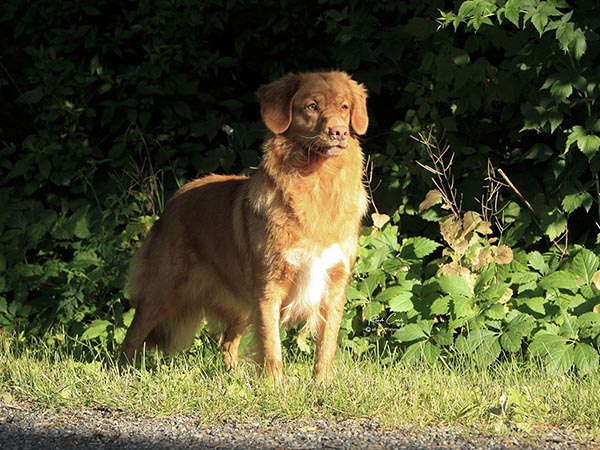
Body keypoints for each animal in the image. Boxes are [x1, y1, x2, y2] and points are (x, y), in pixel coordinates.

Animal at [121, 71, 368, 384]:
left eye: (345, 107)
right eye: (311, 106)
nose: (339, 132)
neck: (317, 181)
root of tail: (174, 199)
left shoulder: (334, 285)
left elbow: (326, 347)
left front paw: (321, 385)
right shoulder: (268, 286)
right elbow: (271, 346)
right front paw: (275, 386)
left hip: (240, 302)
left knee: (227, 341)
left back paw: (234, 378)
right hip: (165, 290)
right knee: (133, 335)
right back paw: (124, 372)